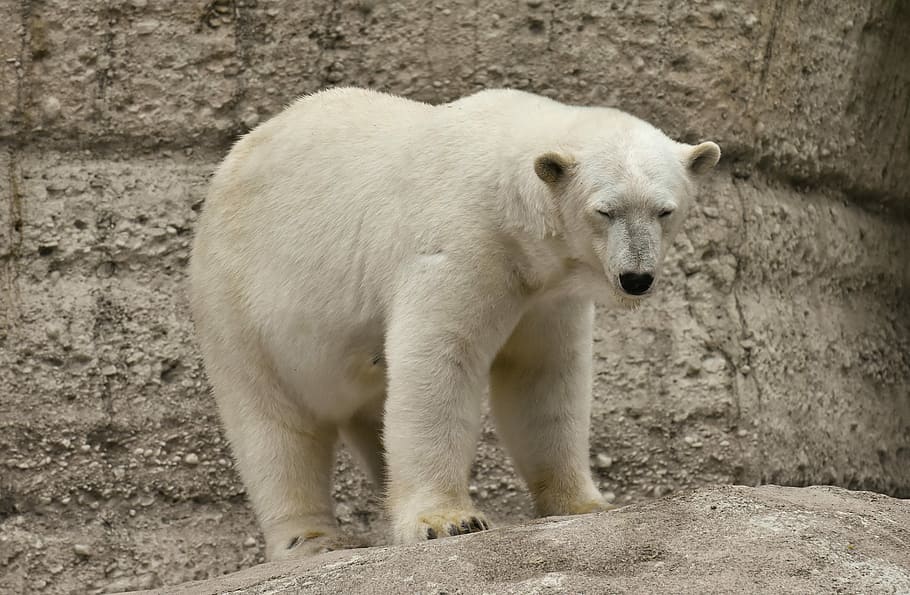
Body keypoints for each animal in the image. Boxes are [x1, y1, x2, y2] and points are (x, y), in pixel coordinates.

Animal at [189, 87, 720, 560]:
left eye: (664, 210)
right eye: (604, 210)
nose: (637, 278)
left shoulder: (545, 294)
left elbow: (541, 378)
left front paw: (586, 503)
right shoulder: (460, 244)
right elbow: (440, 361)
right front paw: (449, 520)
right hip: (241, 306)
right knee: (272, 425)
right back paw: (311, 539)